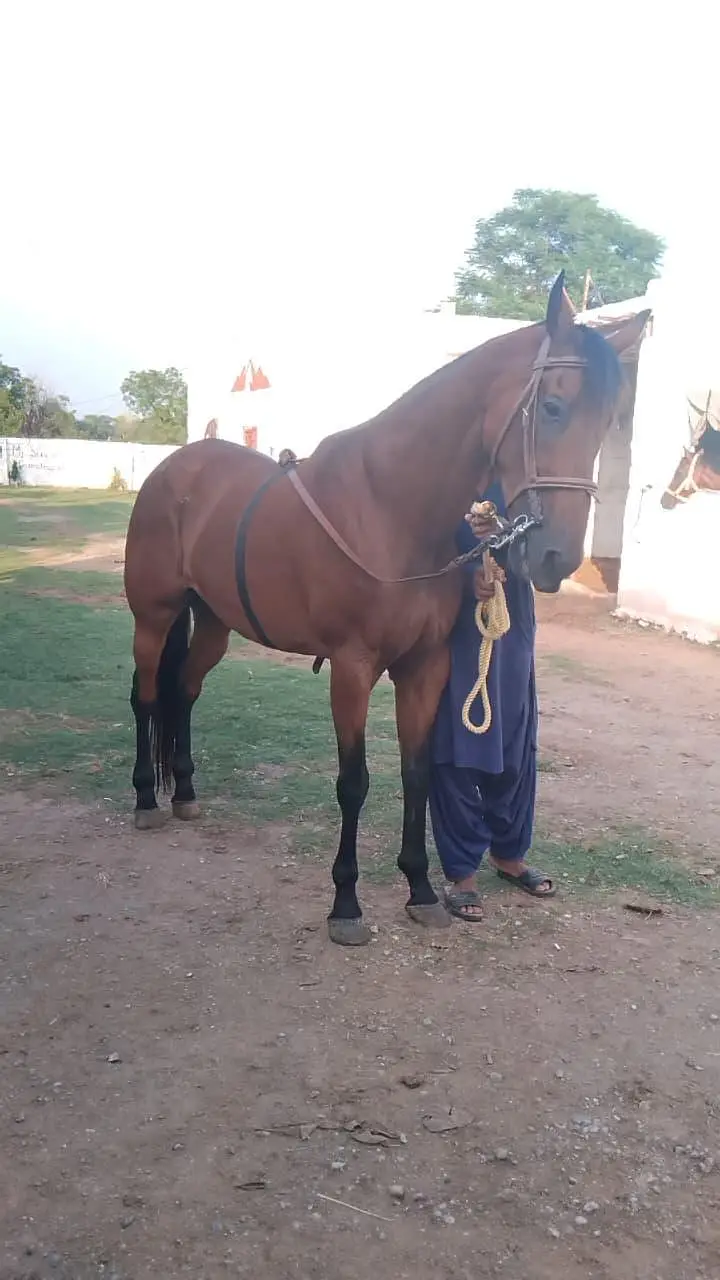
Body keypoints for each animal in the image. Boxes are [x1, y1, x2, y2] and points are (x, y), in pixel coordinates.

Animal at [124, 273, 649, 945]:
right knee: (145, 697)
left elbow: (418, 774)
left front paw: (422, 889)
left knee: (184, 693)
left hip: (214, 624)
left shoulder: (426, 667)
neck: (390, 507)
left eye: (609, 421)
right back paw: (146, 799)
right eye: (554, 407)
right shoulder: (352, 668)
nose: (557, 555)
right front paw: (346, 903)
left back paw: (185, 791)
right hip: (154, 616)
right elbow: (354, 784)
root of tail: (172, 469)